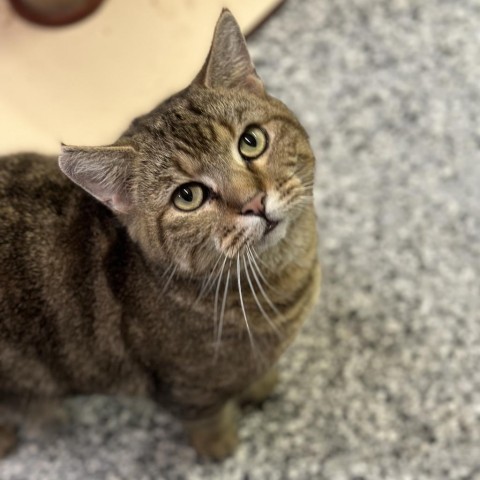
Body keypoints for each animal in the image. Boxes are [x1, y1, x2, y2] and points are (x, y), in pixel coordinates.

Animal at [0, 9, 322, 460]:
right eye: (188, 196)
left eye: (251, 141)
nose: (254, 202)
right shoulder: (187, 391)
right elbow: (209, 420)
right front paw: (220, 447)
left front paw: (261, 386)